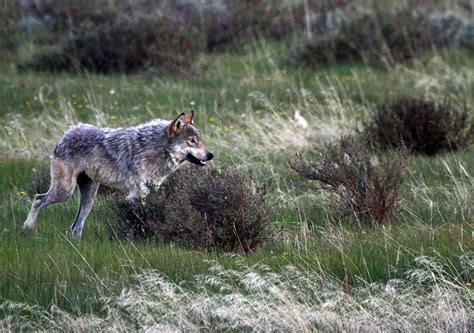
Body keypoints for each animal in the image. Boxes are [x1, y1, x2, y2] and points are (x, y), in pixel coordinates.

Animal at [22, 111, 213, 239]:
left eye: (199, 140)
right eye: (191, 141)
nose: (211, 155)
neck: (157, 149)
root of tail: (68, 132)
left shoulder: (150, 191)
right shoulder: (138, 193)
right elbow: (139, 217)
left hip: (89, 198)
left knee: (75, 226)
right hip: (65, 191)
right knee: (38, 199)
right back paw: (27, 227)